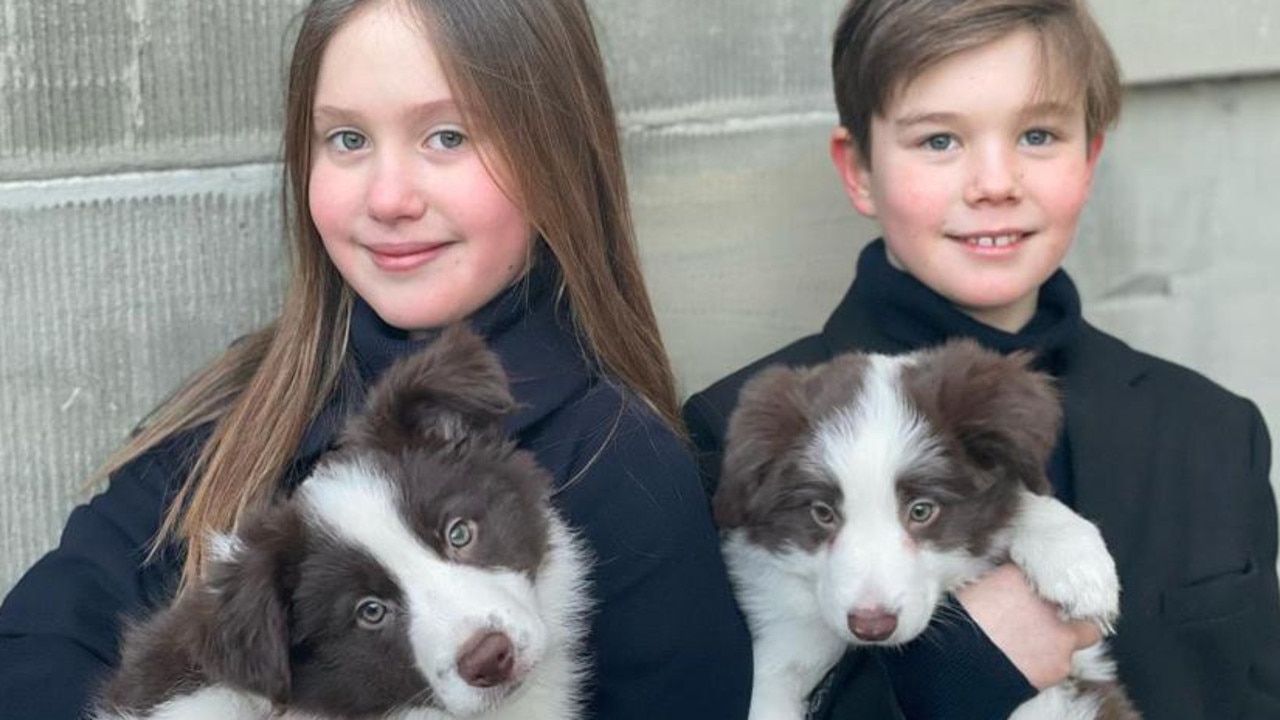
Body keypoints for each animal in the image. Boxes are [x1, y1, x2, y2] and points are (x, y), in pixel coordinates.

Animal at [721, 338, 1141, 717]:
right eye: (822, 513)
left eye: (922, 511)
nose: (872, 626)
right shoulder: (782, 650)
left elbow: (1020, 501)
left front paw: (1076, 564)